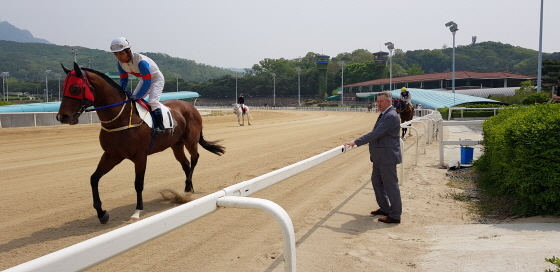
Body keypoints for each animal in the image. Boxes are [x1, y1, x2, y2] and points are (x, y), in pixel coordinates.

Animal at [55, 62, 224, 224]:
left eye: (75, 88)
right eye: (63, 88)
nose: (62, 117)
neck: (120, 119)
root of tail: (191, 107)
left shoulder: (140, 156)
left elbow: (138, 183)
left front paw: (137, 212)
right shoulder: (112, 155)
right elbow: (94, 178)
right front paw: (102, 213)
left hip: (190, 140)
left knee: (195, 158)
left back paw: (188, 187)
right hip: (176, 145)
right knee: (186, 164)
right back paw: (187, 190)